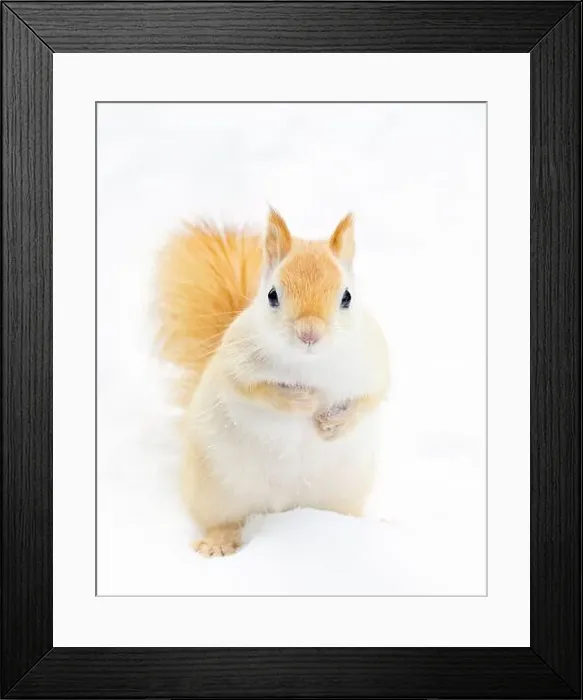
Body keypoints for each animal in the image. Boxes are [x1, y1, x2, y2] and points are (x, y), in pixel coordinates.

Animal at [156, 208, 389, 557]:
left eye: (347, 296)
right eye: (272, 295)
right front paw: (301, 401)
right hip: (215, 490)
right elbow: (253, 390)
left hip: (344, 491)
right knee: (222, 521)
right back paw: (218, 543)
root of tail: (279, 509)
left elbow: (371, 399)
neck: (309, 366)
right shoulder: (235, 362)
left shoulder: (374, 363)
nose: (309, 333)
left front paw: (334, 424)